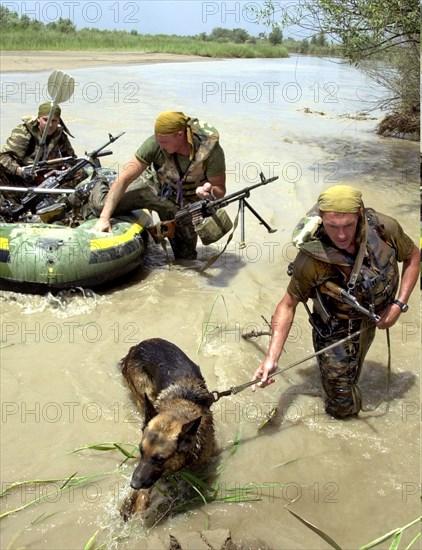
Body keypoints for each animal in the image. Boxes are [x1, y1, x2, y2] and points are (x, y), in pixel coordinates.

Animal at [119, 336, 216, 520]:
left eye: (159, 459)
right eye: (140, 451)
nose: (133, 484)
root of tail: (137, 346)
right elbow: (143, 493)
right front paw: (132, 504)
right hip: (143, 393)